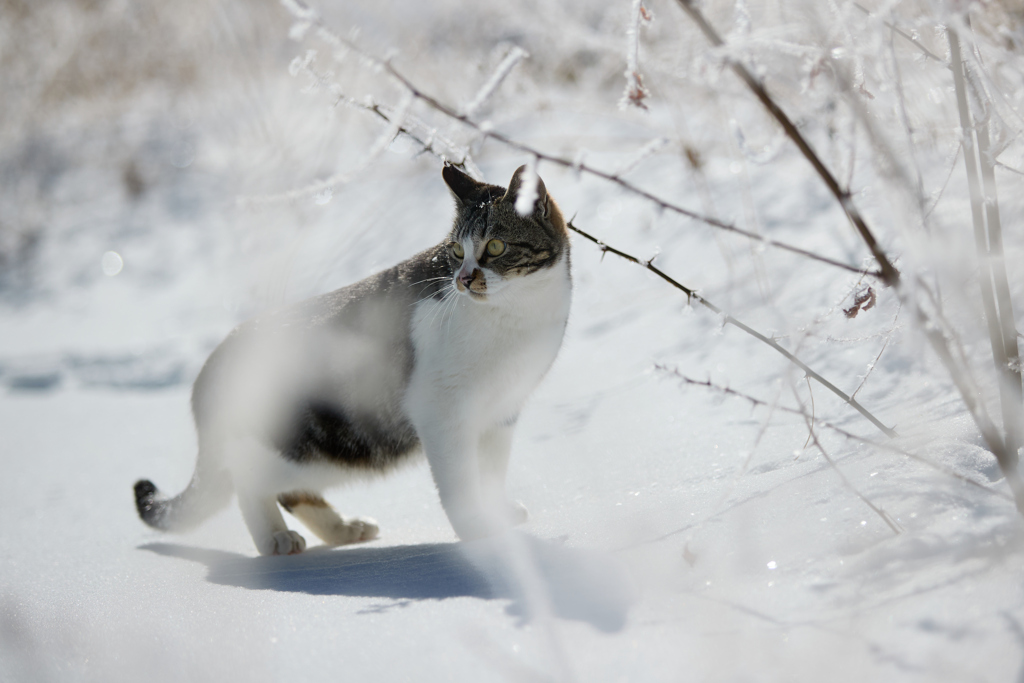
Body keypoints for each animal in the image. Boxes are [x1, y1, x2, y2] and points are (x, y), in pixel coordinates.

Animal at [132, 163, 573, 557]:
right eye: (456, 249)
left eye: (495, 246)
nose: (463, 279)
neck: (518, 314)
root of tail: (216, 357)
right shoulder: (442, 413)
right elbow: (460, 483)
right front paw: (477, 529)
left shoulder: (501, 411)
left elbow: (492, 473)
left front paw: (496, 513)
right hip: (293, 445)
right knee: (248, 481)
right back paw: (274, 537)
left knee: (291, 490)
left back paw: (343, 529)